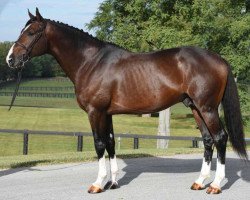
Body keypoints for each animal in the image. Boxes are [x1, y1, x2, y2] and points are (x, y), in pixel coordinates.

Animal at [6, 8, 248, 195]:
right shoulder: (107, 113)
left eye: (32, 32)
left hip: (208, 108)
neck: (90, 62)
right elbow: (111, 143)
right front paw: (113, 182)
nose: (10, 59)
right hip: (196, 108)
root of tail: (219, 58)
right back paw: (199, 182)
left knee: (220, 138)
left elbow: (99, 144)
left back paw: (215, 185)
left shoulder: (95, 111)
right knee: (207, 141)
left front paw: (98, 184)